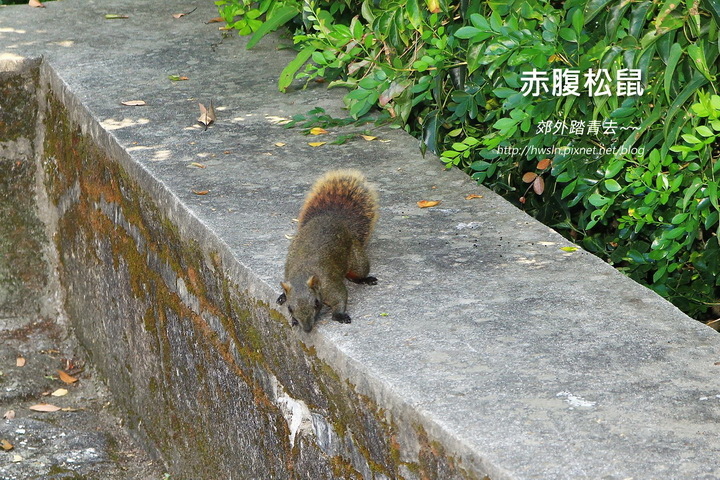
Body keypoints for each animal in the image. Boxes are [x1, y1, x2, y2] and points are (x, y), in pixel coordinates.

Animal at [277, 169, 379, 332]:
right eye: (290, 309)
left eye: (316, 303)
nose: (307, 329)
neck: (303, 273)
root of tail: (333, 217)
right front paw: (293, 318)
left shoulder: (330, 286)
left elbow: (341, 297)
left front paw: (340, 315)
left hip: (358, 260)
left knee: (357, 274)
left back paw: (365, 279)